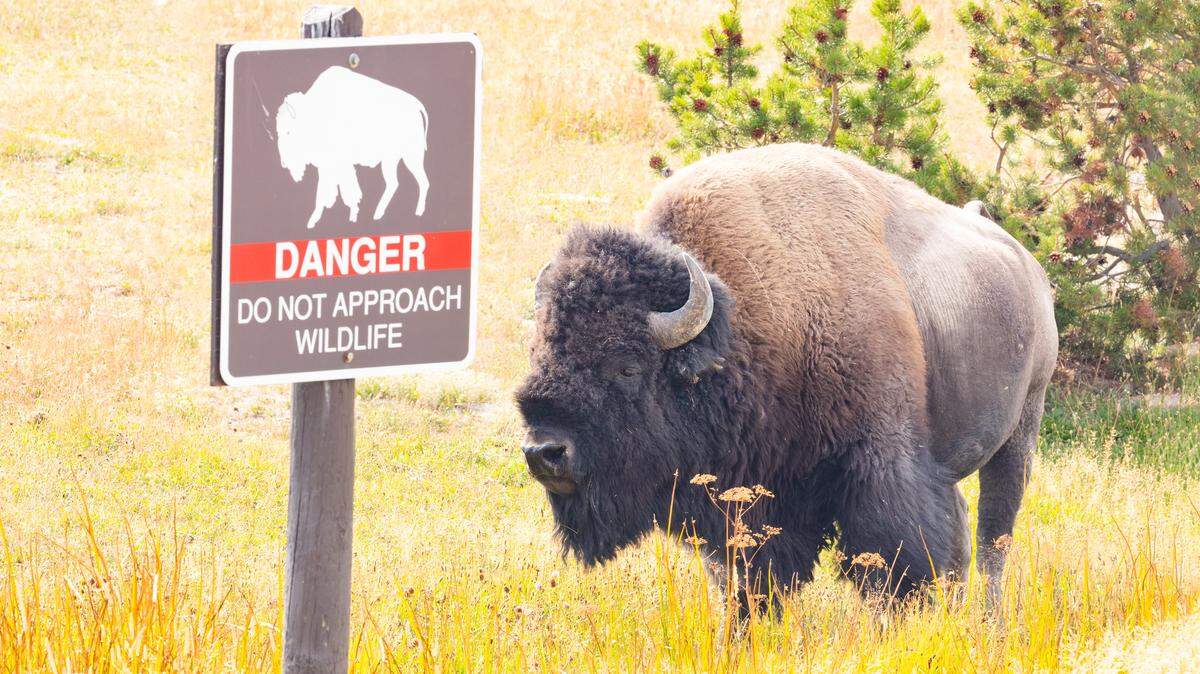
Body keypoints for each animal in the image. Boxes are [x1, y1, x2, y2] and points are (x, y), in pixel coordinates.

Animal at [516, 143, 1058, 604]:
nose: (545, 452)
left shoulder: (879, 464)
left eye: (628, 366)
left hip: (1020, 433)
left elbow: (893, 561)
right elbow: (742, 577)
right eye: (539, 352)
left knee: (993, 538)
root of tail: (1028, 269)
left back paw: (988, 621)